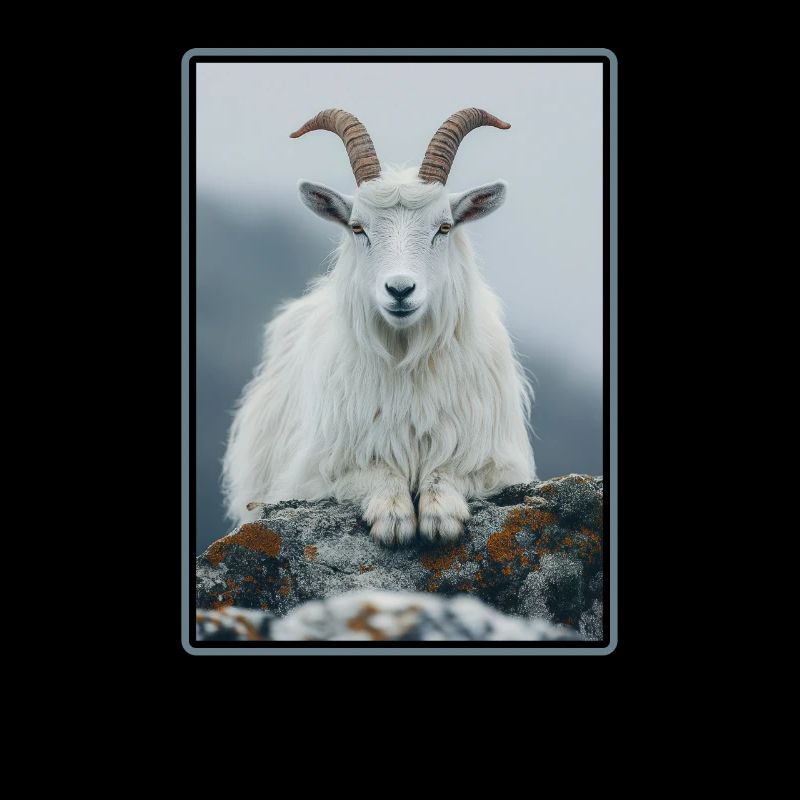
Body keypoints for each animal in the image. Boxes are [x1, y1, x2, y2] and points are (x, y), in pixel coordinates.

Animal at [223, 108, 536, 545]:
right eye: (358, 227)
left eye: (444, 227)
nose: (400, 290)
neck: (406, 362)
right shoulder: (316, 470)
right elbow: (374, 471)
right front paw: (393, 515)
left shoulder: (497, 461)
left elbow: (449, 470)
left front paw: (441, 513)